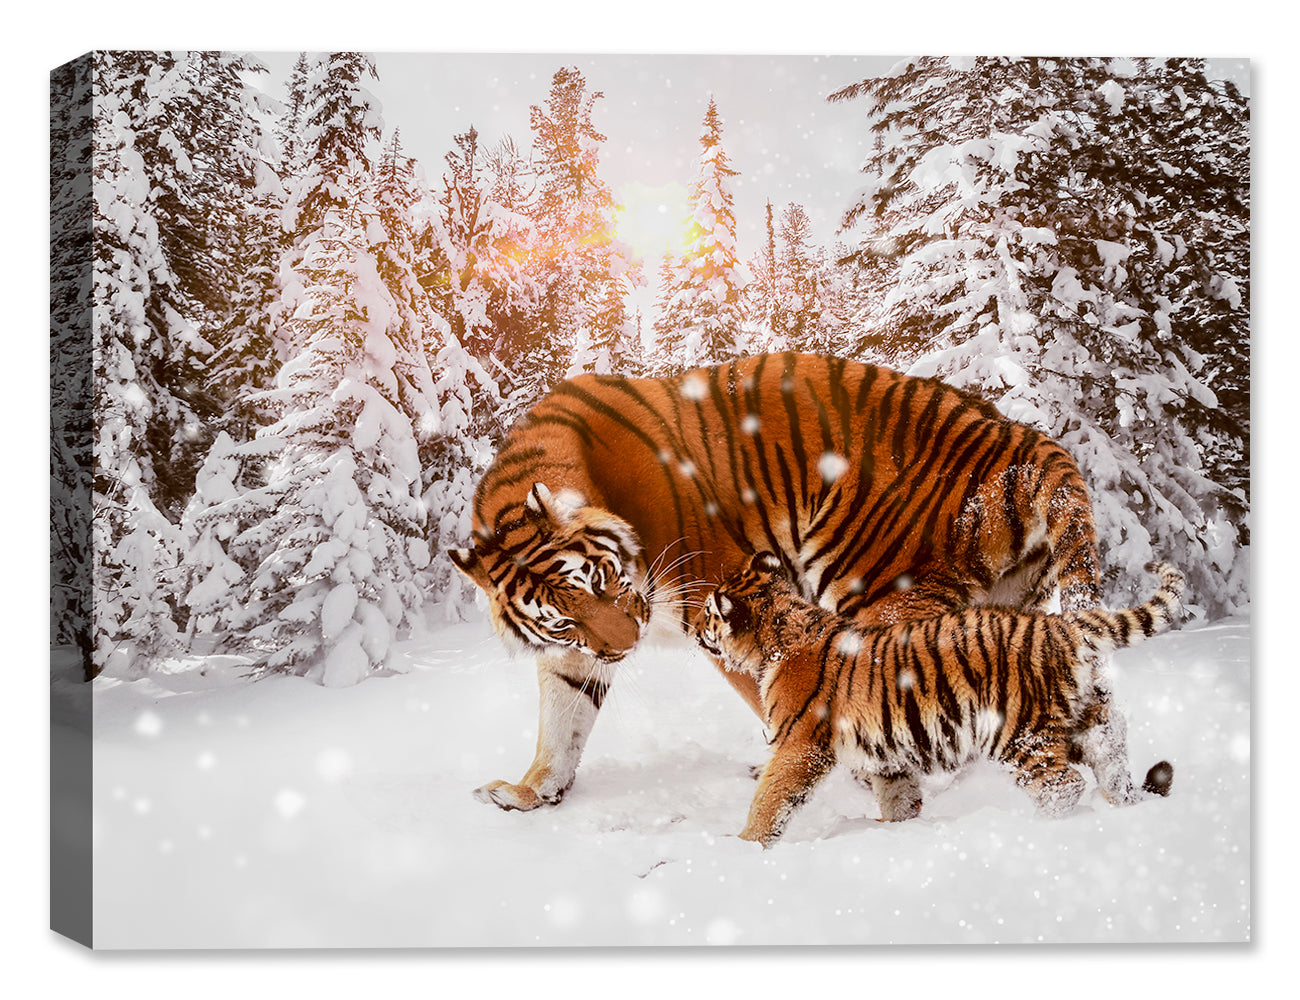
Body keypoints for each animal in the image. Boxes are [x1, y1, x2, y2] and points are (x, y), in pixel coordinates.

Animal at [450, 352, 1107, 815]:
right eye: (563, 619)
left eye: (604, 580)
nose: (626, 646)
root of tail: (1019, 437)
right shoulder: (575, 652)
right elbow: (561, 722)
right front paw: (531, 792)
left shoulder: (716, 597)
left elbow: (768, 691)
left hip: (874, 588)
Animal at [693, 551, 1183, 847]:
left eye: (709, 613)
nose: (694, 628)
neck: (777, 635)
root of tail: (1062, 625)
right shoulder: (886, 754)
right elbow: (898, 797)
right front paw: (895, 831)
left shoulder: (799, 746)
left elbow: (771, 798)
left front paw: (744, 846)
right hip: (1088, 719)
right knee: (1112, 759)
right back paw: (1125, 807)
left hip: (1018, 733)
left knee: (1062, 785)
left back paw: (1040, 828)